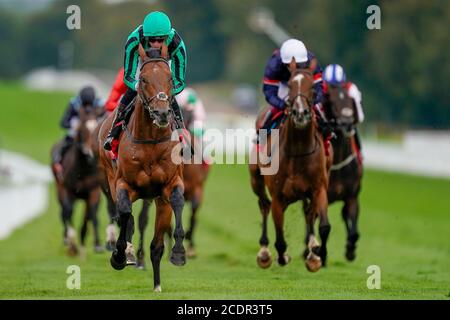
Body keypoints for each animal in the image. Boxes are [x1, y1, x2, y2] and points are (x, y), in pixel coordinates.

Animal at [50, 104, 103, 256]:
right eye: (82, 130)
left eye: (97, 128)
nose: (90, 153)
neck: (83, 169)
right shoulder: (67, 189)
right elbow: (68, 211)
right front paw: (72, 243)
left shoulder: (94, 191)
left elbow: (93, 215)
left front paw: (96, 244)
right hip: (60, 188)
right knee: (64, 212)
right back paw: (67, 239)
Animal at [96, 45, 185, 292]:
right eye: (143, 79)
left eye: (169, 78)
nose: (162, 113)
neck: (150, 142)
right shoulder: (123, 184)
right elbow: (125, 214)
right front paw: (119, 255)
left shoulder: (169, 185)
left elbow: (177, 202)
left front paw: (178, 253)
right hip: (110, 178)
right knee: (124, 214)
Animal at [248, 58, 332, 272]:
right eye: (292, 85)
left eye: (312, 87)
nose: (300, 113)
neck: (298, 150)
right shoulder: (278, 195)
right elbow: (280, 240)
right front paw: (281, 256)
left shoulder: (319, 188)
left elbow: (324, 226)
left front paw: (317, 253)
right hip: (256, 180)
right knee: (264, 205)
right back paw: (264, 252)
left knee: (309, 213)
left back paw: (311, 250)